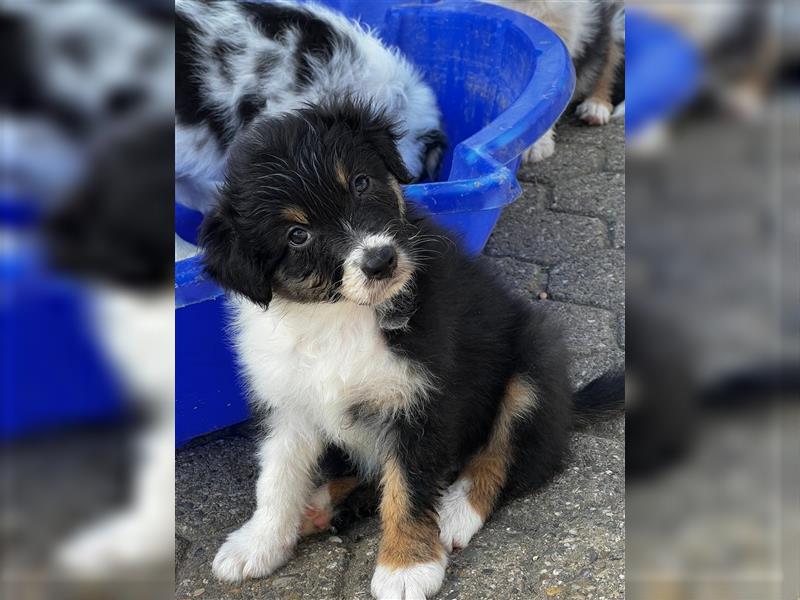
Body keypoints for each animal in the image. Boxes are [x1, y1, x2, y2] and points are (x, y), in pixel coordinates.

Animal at [200, 101, 624, 596]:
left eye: (361, 183)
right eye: (297, 235)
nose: (380, 261)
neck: (339, 316)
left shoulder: (423, 400)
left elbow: (408, 487)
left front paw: (406, 567)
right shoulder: (287, 402)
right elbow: (276, 477)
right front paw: (259, 543)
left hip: (533, 361)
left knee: (503, 457)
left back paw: (455, 512)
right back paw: (320, 504)